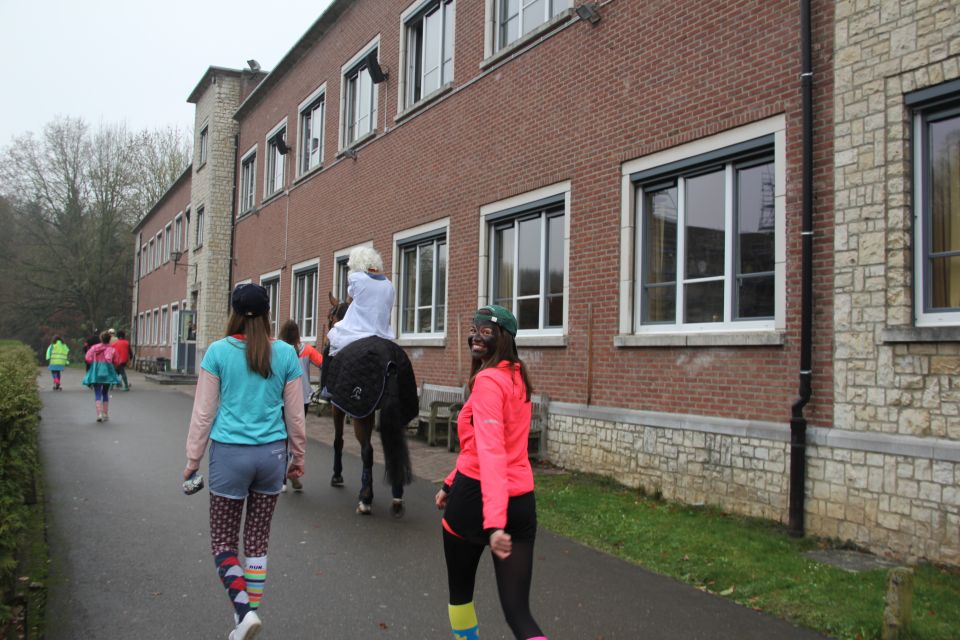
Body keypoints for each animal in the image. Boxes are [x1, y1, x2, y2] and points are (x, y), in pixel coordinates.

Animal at [322, 293, 415, 517]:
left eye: (329, 316)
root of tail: (390, 358)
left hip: (360, 413)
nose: (326, 341)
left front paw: (337, 476)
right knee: (395, 448)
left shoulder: (339, 407)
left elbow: (338, 440)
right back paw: (397, 495)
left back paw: (365, 498)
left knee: (368, 451)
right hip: (396, 413)